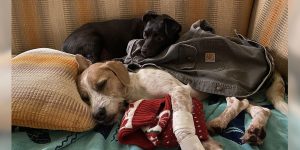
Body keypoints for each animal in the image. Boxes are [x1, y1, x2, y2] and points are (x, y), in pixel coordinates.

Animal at [74, 54, 286, 149]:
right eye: (85, 98)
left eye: (101, 84)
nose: (98, 115)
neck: (135, 88)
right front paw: (207, 142)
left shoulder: (178, 90)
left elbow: (181, 124)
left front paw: (197, 142)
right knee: (257, 108)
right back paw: (252, 129)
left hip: (231, 87)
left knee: (240, 103)